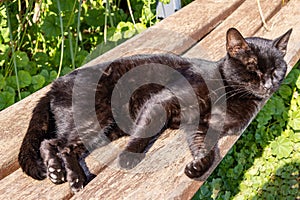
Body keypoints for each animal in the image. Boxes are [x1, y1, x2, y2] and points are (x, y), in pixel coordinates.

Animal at [18, 28, 290, 192]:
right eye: (252, 67)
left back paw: (58, 172)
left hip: (105, 129)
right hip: (95, 118)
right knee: (58, 144)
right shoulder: (161, 102)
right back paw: (70, 176)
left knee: (55, 144)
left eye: (277, 69)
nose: (269, 84)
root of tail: (56, 84)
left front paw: (197, 167)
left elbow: (208, 152)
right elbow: (145, 132)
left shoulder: (202, 126)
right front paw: (127, 159)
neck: (232, 93)